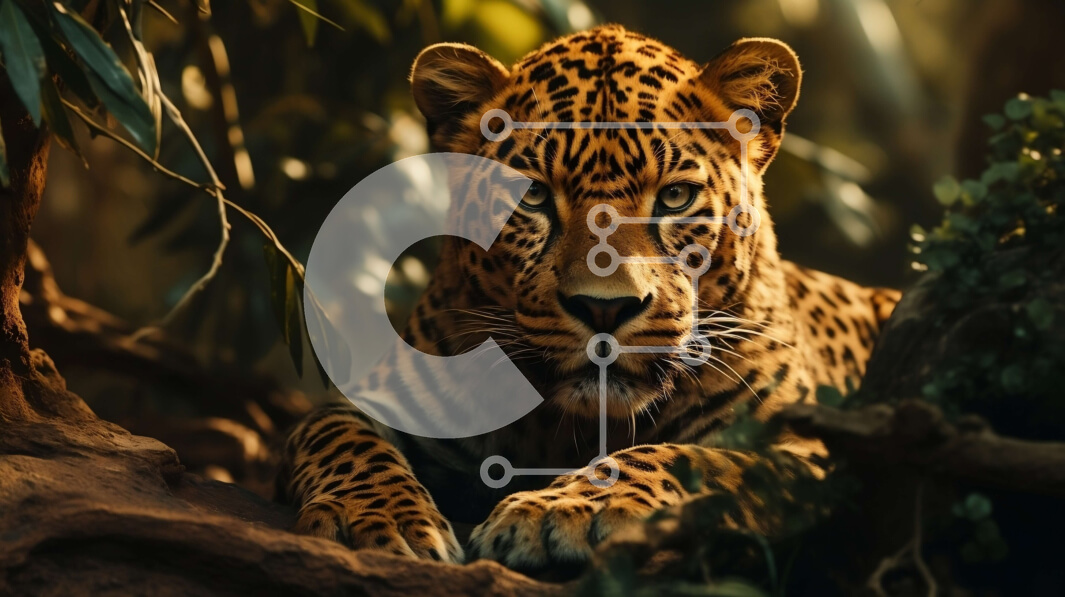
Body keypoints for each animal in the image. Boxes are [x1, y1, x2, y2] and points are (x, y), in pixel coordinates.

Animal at [278, 24, 900, 571]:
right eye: (531, 195)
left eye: (675, 197)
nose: (605, 307)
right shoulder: (377, 401)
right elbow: (342, 437)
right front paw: (381, 520)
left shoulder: (808, 451)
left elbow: (688, 457)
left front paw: (560, 510)